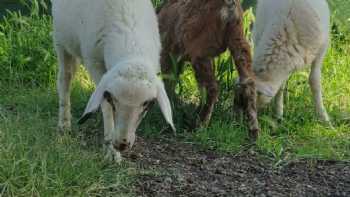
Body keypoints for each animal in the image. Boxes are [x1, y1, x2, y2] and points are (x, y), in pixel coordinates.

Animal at [52, 0, 175, 162]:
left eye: (147, 104)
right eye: (112, 98)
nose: (121, 144)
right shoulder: (94, 62)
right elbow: (105, 106)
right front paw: (111, 151)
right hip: (61, 40)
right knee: (65, 79)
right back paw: (64, 124)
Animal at [159, 0, 260, 139]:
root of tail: (229, 5)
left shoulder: (167, 49)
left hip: (200, 49)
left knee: (212, 87)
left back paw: (200, 125)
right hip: (238, 39)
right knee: (249, 81)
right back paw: (253, 131)